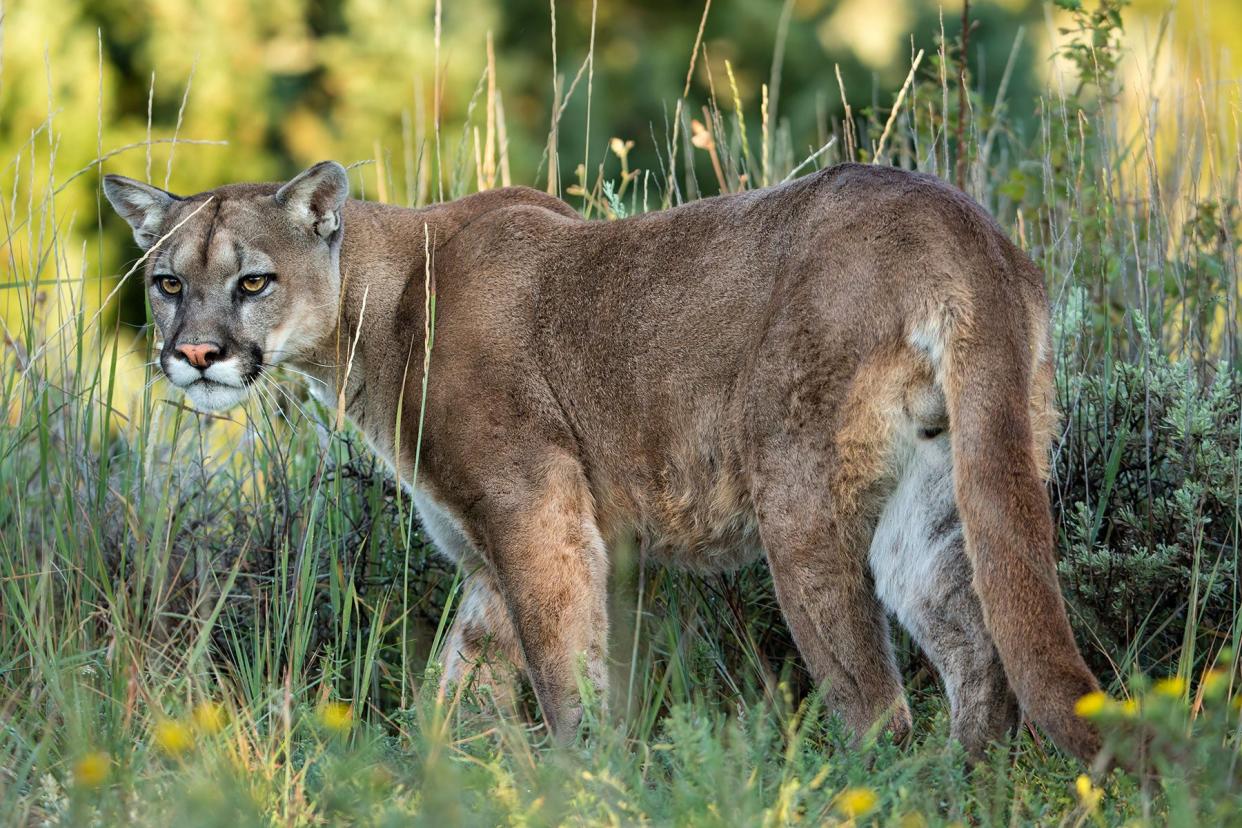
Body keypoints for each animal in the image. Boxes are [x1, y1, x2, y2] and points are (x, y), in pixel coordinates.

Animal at [101, 161, 1102, 764]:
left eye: (253, 281)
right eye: (167, 283)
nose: (195, 355)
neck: (371, 317)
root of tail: (957, 219)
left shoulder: (536, 513)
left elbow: (563, 674)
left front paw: (585, 778)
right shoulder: (484, 555)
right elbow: (456, 685)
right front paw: (434, 781)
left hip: (799, 500)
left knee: (878, 705)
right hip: (938, 498)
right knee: (978, 651)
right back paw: (966, 780)